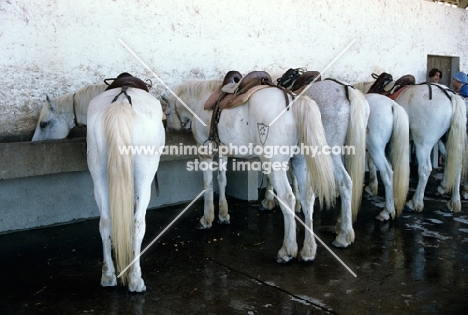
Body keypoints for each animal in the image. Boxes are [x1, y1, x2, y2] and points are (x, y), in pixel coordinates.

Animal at [87, 87, 165, 294]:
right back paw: (135, 279)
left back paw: (108, 276)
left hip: (99, 176)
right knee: (137, 223)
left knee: (105, 221)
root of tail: (121, 102)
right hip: (144, 178)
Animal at [165, 79, 336, 264]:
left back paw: (286, 251)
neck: (201, 100)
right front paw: (223, 215)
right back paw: (308, 251)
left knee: (288, 199)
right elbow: (222, 180)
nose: (170, 129)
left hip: (275, 165)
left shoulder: (206, 152)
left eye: (166, 112)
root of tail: (295, 101)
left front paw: (206, 219)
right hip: (300, 162)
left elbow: (208, 185)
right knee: (307, 198)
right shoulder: (223, 152)